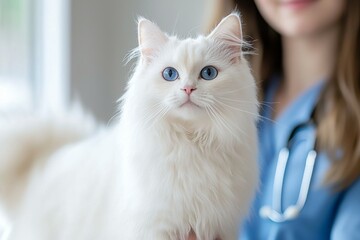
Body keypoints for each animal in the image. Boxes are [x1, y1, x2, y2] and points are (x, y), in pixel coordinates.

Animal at [0, 13, 258, 240]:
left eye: (208, 73)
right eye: (170, 74)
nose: (188, 89)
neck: (191, 143)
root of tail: (44, 159)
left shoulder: (221, 228)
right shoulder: (155, 229)